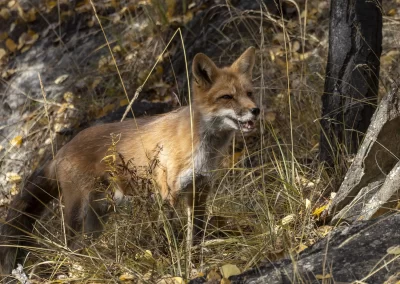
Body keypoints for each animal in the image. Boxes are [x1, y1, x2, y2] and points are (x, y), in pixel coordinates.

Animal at [0, 47, 260, 276]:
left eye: (249, 93)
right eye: (227, 97)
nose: (256, 110)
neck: (201, 147)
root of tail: (61, 149)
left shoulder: (199, 193)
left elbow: (193, 240)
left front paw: (193, 266)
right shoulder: (168, 194)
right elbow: (172, 238)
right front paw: (174, 267)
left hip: (97, 218)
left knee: (79, 249)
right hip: (77, 213)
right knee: (66, 248)